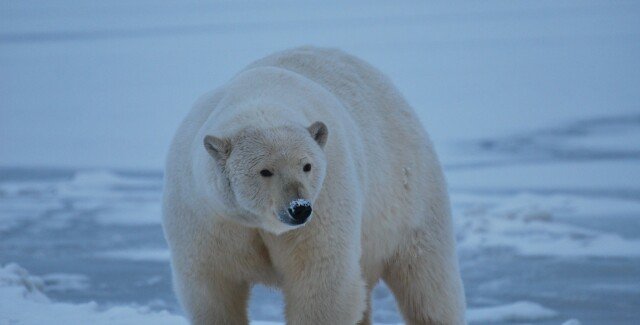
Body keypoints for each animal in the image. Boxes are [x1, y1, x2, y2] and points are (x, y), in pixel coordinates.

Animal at [162, 46, 464, 324]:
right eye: (265, 171)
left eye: (306, 166)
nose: (299, 208)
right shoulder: (208, 216)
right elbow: (212, 287)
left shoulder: (327, 196)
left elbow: (321, 280)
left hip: (409, 192)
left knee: (428, 282)